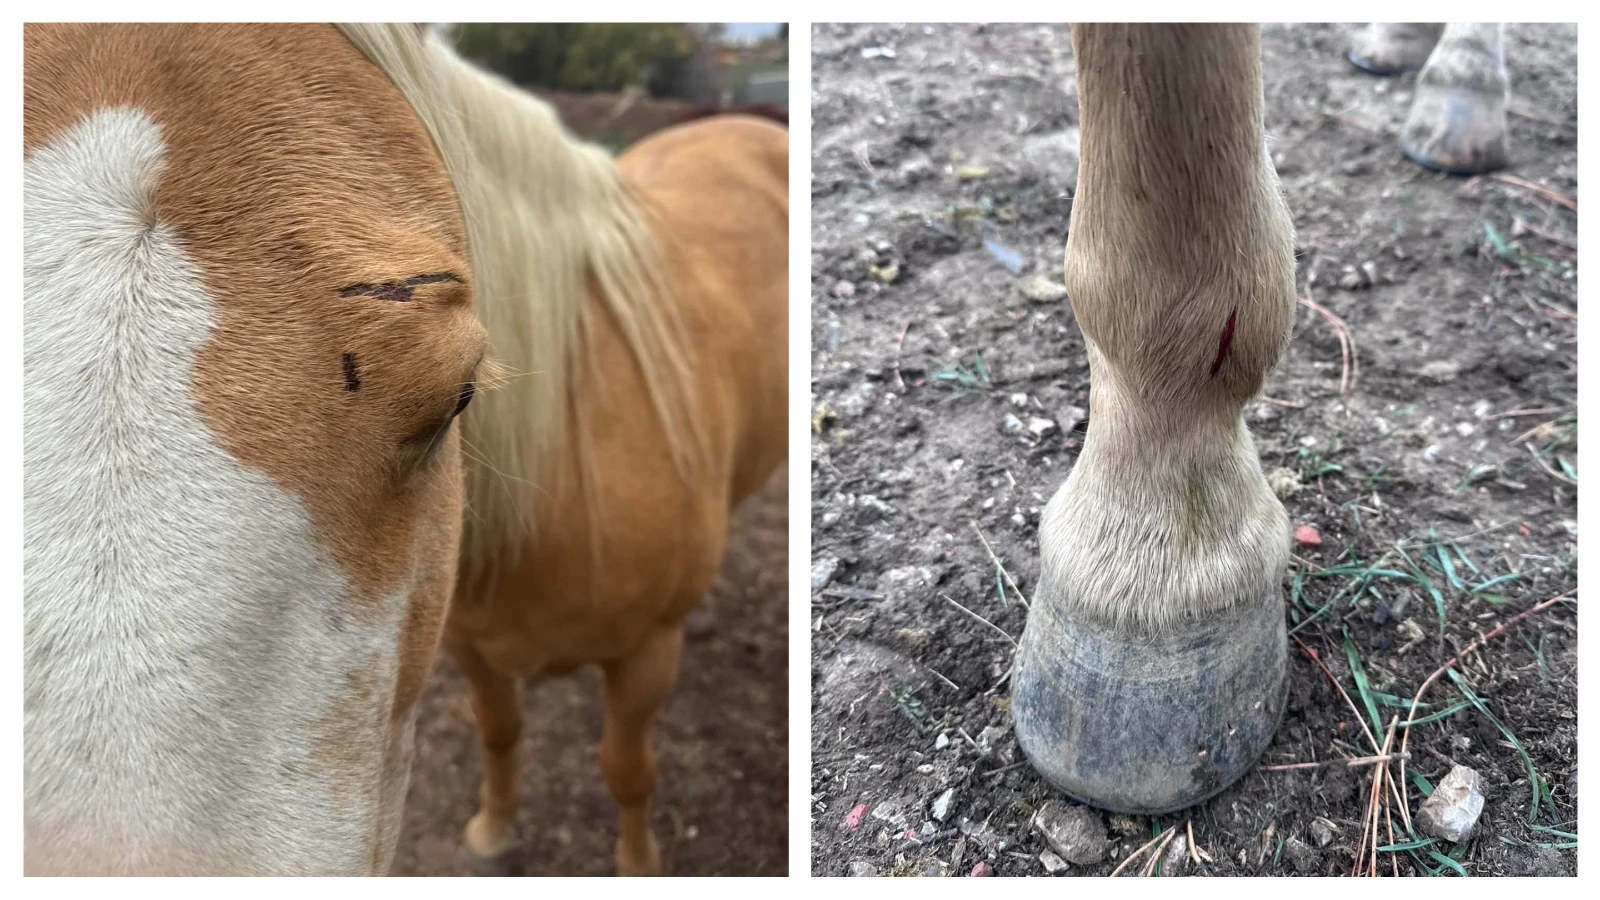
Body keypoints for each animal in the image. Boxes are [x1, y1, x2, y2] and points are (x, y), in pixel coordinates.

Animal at [23, 22, 787, 875]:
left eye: (459, 396)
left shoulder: (647, 657)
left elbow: (627, 769)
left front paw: (639, 864)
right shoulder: (470, 647)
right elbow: (499, 728)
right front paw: (492, 830)